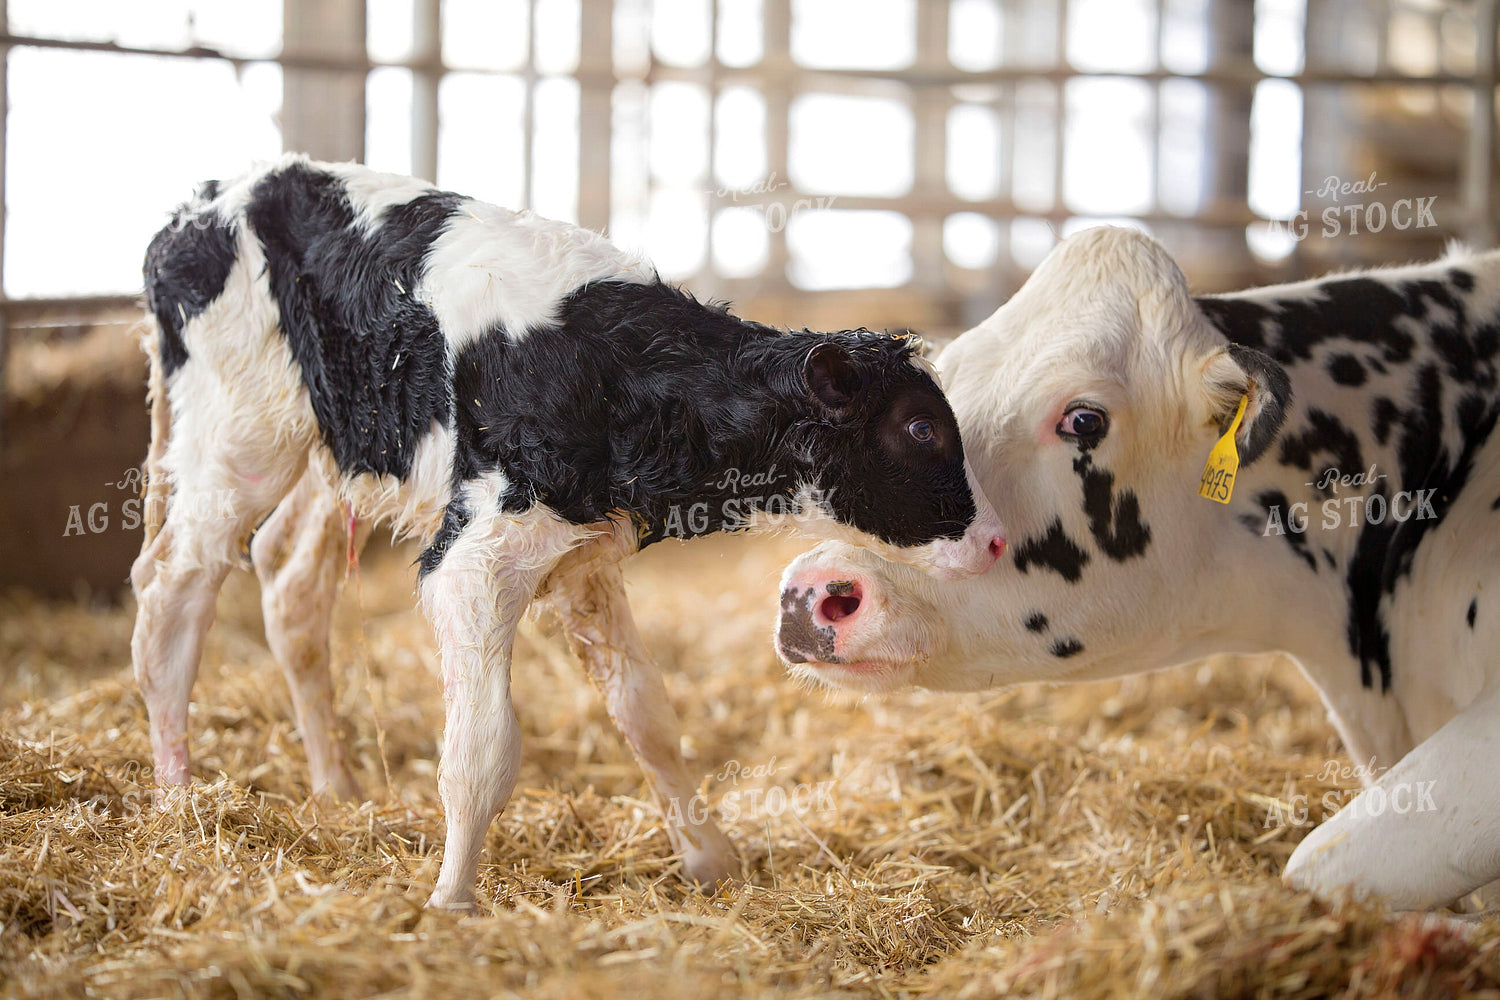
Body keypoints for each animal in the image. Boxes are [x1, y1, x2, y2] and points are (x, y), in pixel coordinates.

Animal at [134, 155, 1005, 911]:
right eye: (922, 428)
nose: (997, 541)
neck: (620, 370)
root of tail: (201, 203)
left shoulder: (582, 555)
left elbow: (646, 713)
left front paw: (711, 858)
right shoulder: (474, 562)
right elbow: (484, 749)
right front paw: (453, 901)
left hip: (335, 450)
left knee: (288, 585)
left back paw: (335, 789)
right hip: (237, 437)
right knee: (173, 585)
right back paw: (178, 800)